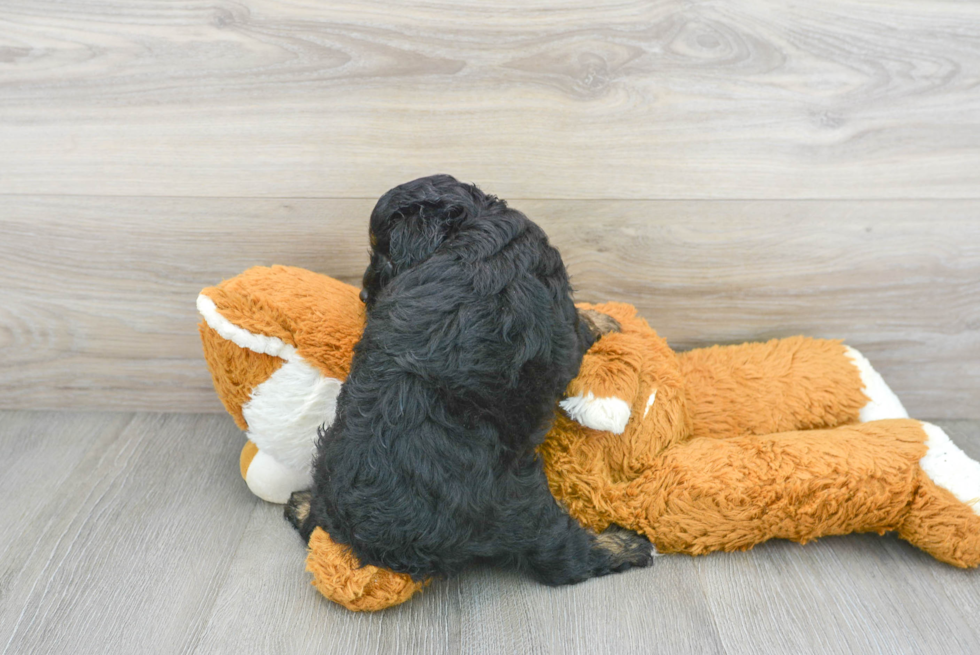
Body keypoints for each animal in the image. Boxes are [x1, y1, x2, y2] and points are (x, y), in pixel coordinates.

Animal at [284, 174, 652, 584]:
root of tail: (384, 544)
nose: (364, 294)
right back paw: (626, 545)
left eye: (386, 255)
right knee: (563, 556)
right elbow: (580, 324)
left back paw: (301, 503)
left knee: (316, 519)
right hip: (518, 504)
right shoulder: (561, 314)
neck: (474, 221)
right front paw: (604, 320)